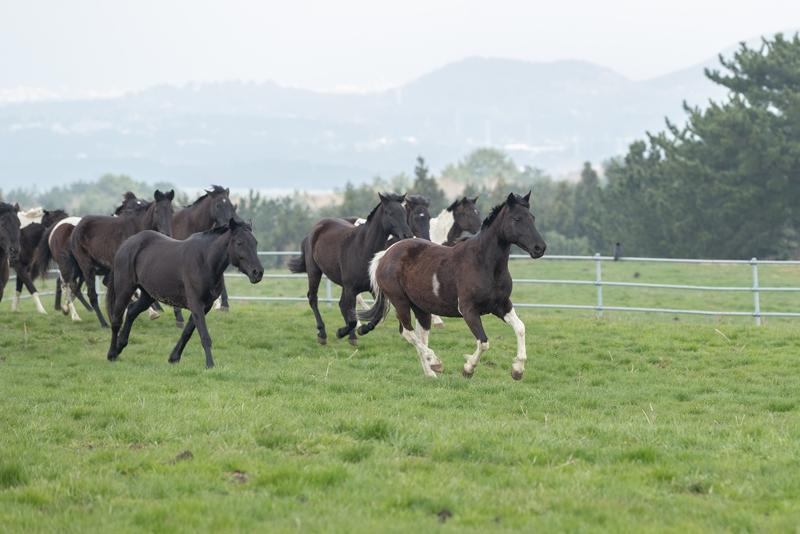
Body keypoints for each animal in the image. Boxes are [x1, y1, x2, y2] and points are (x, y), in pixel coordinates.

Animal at [70, 189, 174, 327]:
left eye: (172, 211)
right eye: (157, 211)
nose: (166, 234)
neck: (137, 229)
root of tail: (77, 227)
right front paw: (153, 313)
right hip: (87, 266)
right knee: (92, 294)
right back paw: (103, 323)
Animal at [105, 218, 263, 368]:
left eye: (255, 243)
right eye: (239, 243)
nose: (258, 273)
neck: (205, 260)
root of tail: (125, 245)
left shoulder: (205, 306)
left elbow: (187, 332)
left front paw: (174, 358)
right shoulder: (196, 303)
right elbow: (204, 335)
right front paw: (210, 364)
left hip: (148, 295)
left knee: (131, 312)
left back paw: (120, 346)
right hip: (125, 290)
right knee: (116, 320)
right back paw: (112, 353)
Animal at [170, 185, 239, 327]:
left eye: (230, 204)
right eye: (218, 205)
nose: (229, 224)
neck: (192, 224)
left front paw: (224, 305)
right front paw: (179, 317)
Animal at [289, 193, 413, 346]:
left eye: (404, 212)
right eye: (390, 212)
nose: (408, 235)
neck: (362, 248)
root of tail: (315, 229)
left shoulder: (372, 289)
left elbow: (377, 313)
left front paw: (362, 330)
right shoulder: (351, 289)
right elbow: (353, 318)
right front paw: (341, 332)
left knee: (342, 305)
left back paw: (351, 336)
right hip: (314, 272)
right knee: (313, 298)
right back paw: (322, 334)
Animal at [358, 192, 546, 379]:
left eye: (533, 217)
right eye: (517, 219)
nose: (540, 248)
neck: (484, 263)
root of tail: (384, 255)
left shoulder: (502, 305)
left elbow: (520, 328)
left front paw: (517, 370)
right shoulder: (468, 310)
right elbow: (484, 342)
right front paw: (468, 368)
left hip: (420, 308)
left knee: (420, 335)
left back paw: (430, 373)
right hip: (400, 302)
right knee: (407, 332)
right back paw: (435, 361)